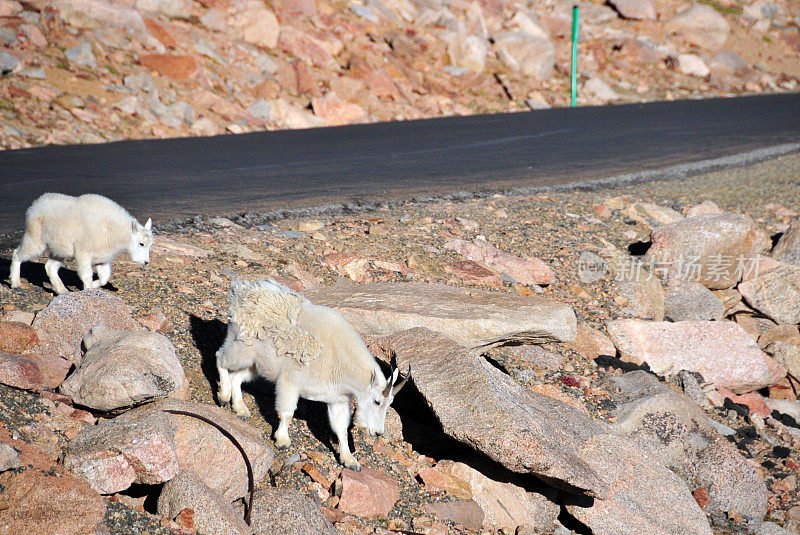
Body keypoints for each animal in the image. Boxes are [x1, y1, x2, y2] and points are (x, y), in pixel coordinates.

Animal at [10, 193, 153, 294]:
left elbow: (104, 277)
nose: (146, 262)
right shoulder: (83, 253)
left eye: (150, 244)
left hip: (60, 249)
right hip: (35, 238)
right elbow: (87, 274)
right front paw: (88, 289)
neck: (113, 230)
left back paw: (62, 290)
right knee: (17, 253)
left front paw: (94, 286)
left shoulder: (102, 258)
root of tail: (34, 207)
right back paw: (15, 282)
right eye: (141, 243)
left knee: (50, 267)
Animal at [216, 278, 410, 472]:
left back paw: (240, 408)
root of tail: (241, 290)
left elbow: (341, 428)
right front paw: (282, 440)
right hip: (241, 346)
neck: (339, 359)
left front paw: (350, 460)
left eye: (389, 404)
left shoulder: (337, 399)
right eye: (376, 401)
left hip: (256, 364)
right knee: (220, 358)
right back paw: (223, 395)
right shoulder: (290, 381)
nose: (377, 432)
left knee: (237, 377)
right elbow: (287, 412)